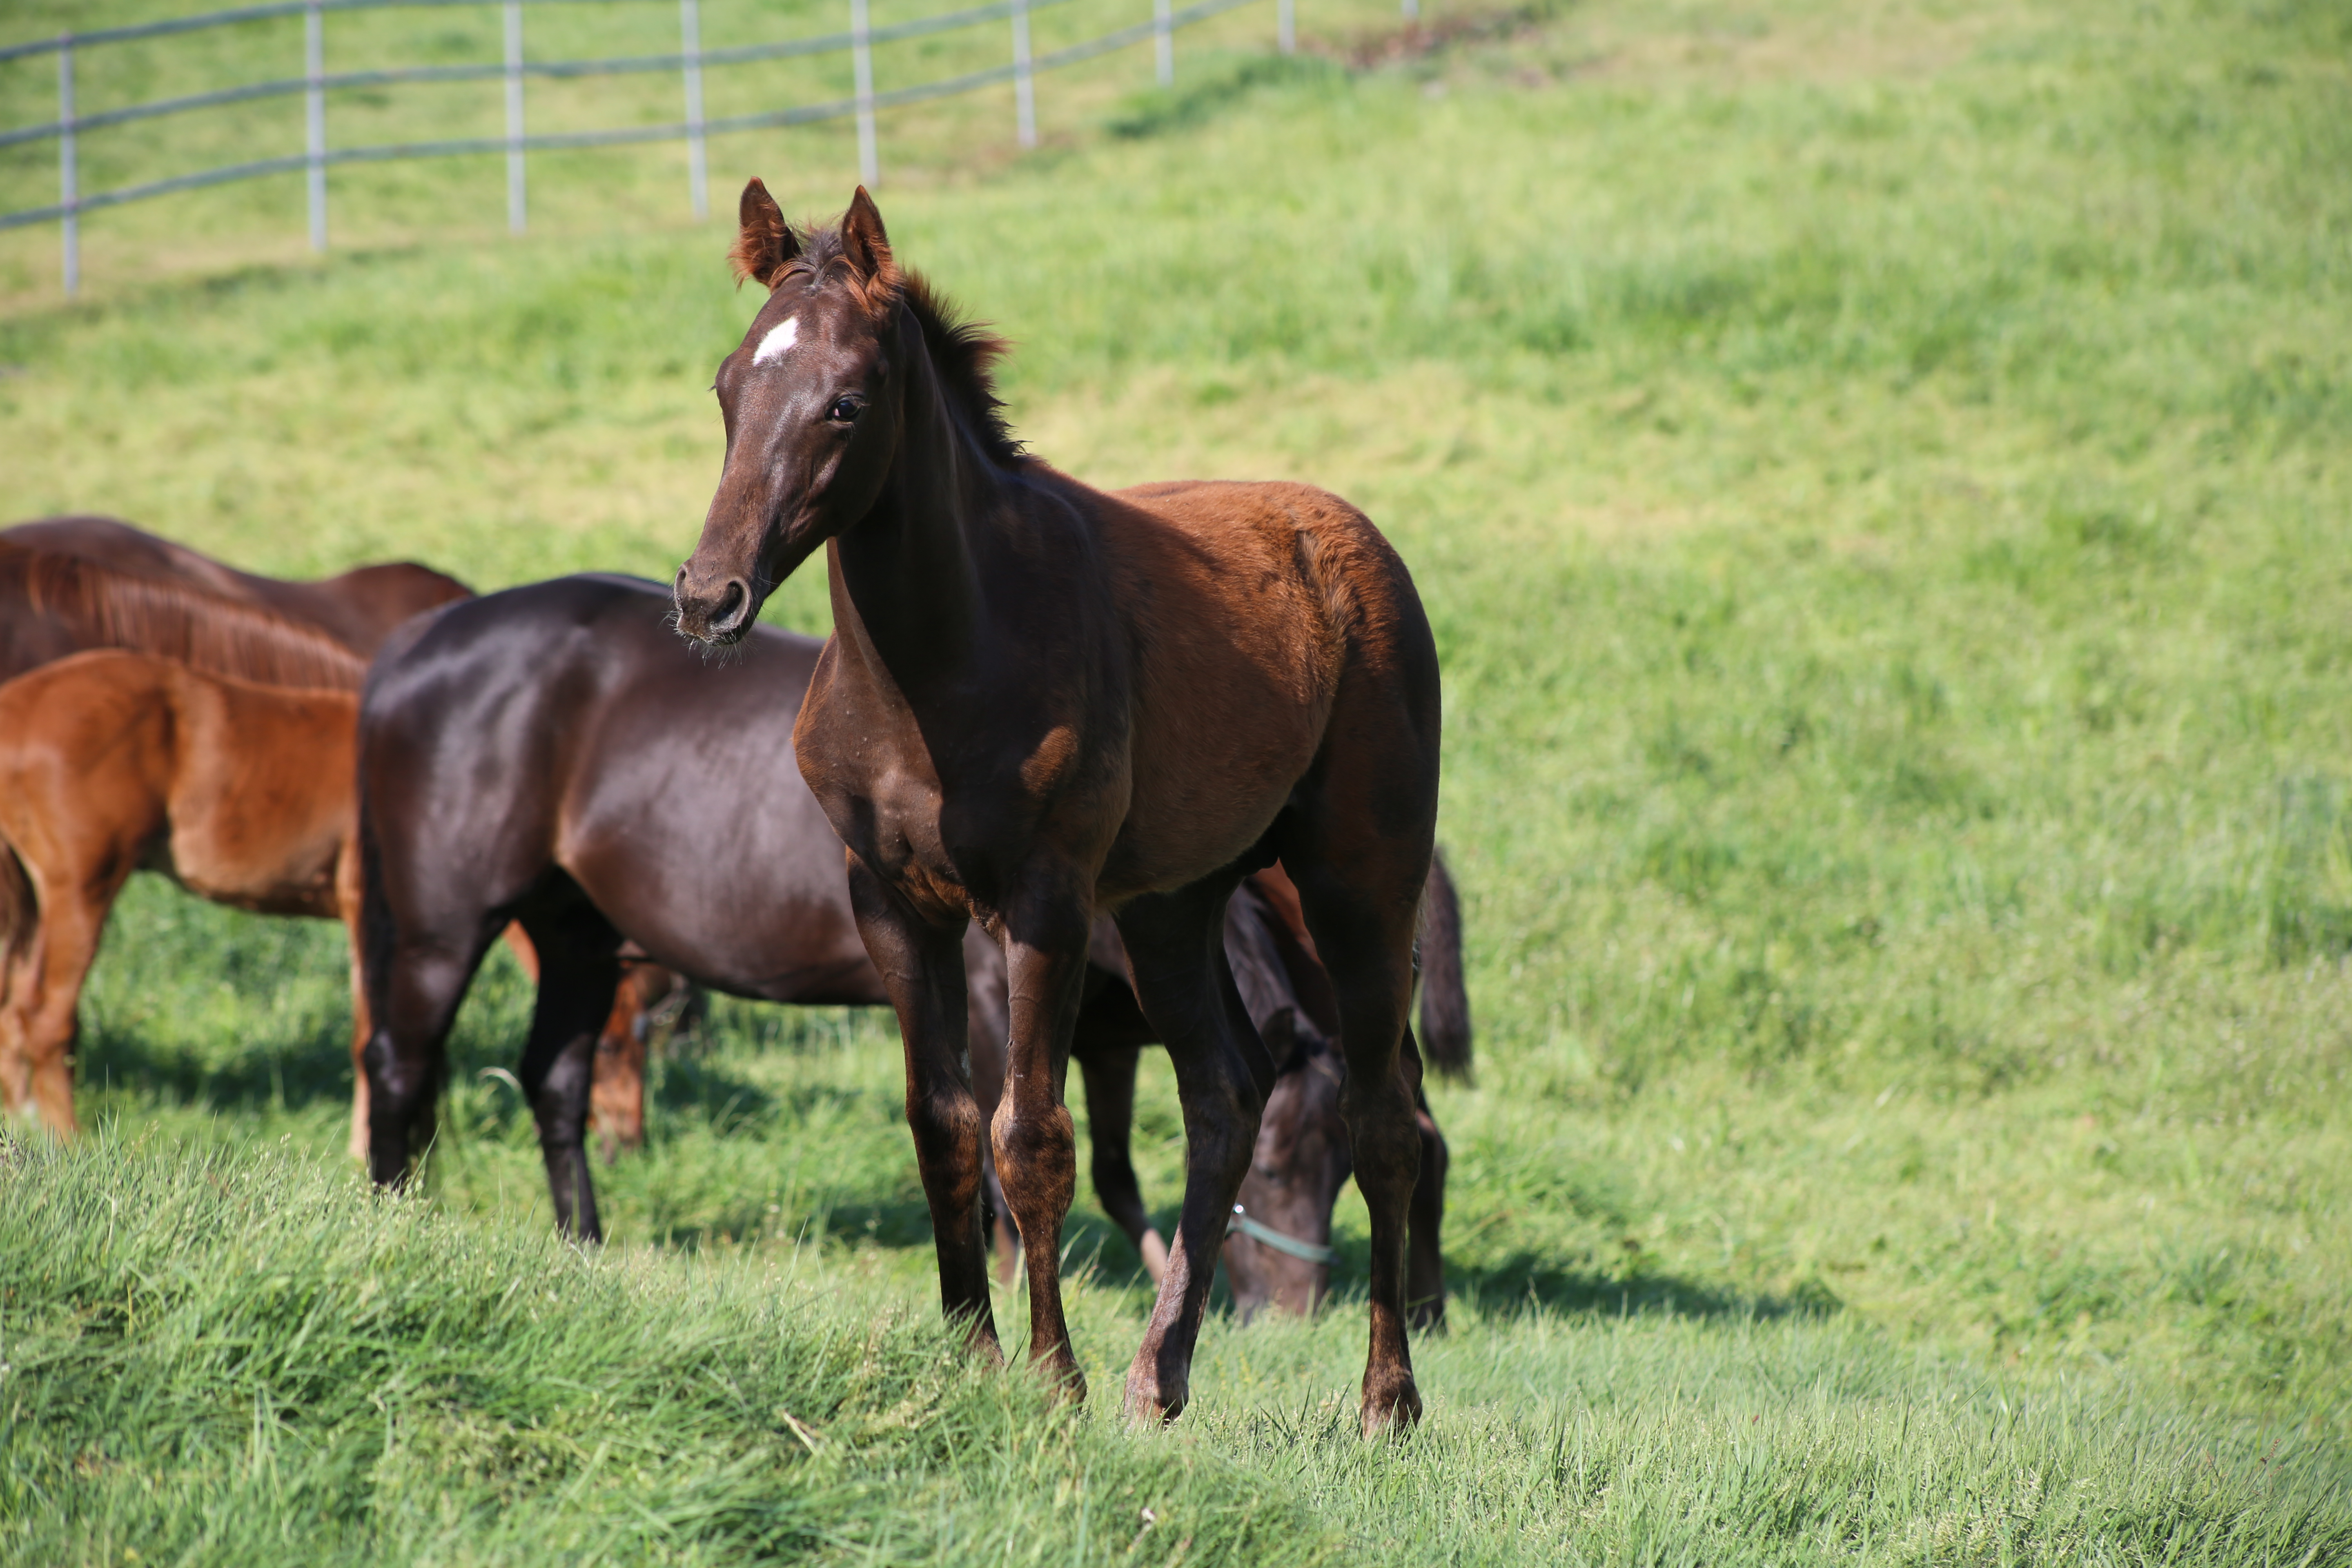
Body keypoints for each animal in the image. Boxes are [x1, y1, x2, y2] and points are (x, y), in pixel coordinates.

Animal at [357, 576, 1458, 1316]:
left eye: (1332, 1167)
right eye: (1273, 1163)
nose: (1296, 1310)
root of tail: (412, 646)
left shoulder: (1108, 1033)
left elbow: (1111, 1166)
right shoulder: (991, 995)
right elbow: (1007, 1147)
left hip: (578, 933)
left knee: (554, 1077)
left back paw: (583, 1247)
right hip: (443, 929)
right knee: (401, 1065)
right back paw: (391, 1223)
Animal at [677, 187, 1449, 1439]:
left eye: (846, 403)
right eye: (727, 386)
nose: (708, 596)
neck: (945, 659)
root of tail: (1354, 541)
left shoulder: (1041, 904)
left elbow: (1029, 1135)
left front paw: (1050, 1378)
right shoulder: (890, 901)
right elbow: (941, 1124)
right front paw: (969, 1357)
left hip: (1358, 886)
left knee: (1385, 1122)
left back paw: (1386, 1399)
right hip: (1173, 905)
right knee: (1224, 1093)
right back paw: (1159, 1376)